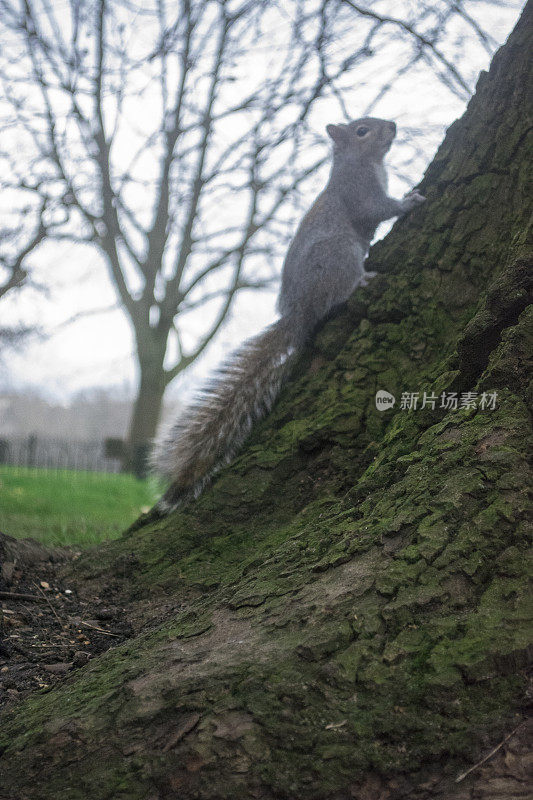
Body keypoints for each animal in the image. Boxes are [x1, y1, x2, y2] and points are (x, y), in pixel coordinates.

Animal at [152, 117, 426, 512]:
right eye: (362, 130)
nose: (391, 125)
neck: (364, 162)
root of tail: (298, 316)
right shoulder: (359, 192)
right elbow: (376, 210)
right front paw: (408, 201)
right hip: (339, 253)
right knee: (338, 292)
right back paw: (360, 281)